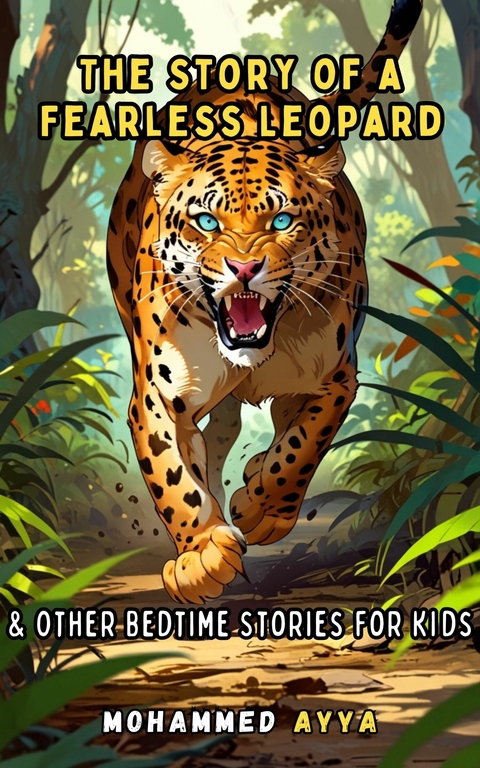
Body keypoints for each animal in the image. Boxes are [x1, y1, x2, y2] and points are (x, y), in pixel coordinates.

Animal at [107, 0, 423, 604]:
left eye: (281, 220)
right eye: (207, 221)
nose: (244, 268)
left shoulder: (337, 378)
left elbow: (303, 445)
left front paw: (261, 508)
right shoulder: (156, 396)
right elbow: (172, 476)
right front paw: (202, 555)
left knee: (258, 424)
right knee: (216, 435)